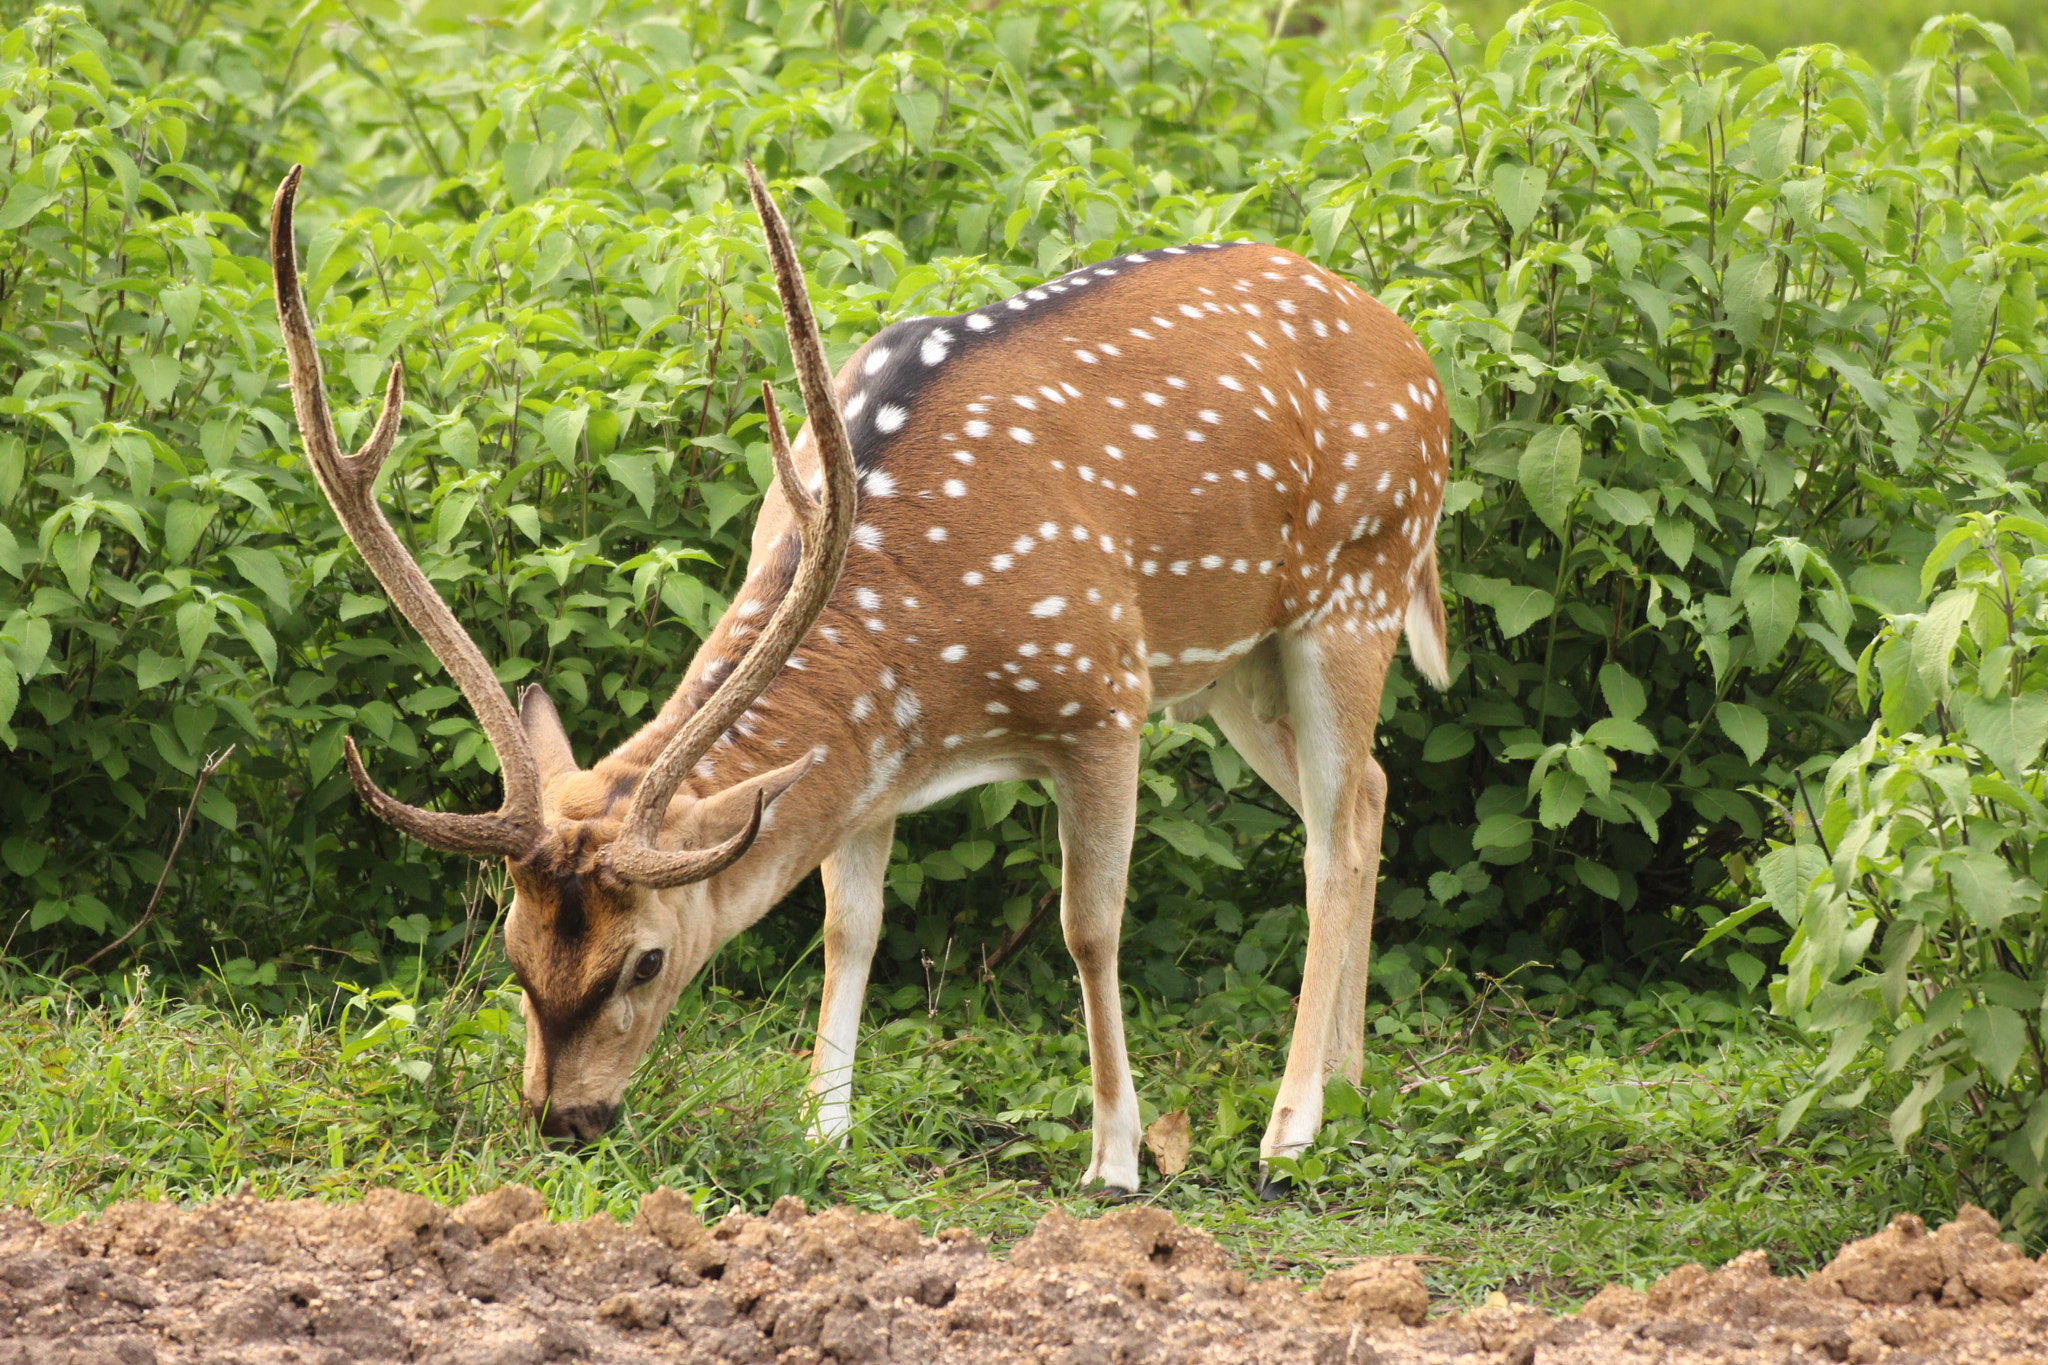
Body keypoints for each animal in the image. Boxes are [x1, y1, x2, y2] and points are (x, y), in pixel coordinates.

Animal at [272, 160, 1458, 1186]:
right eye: (513, 955)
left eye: (645, 960)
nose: (564, 1119)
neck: (930, 657)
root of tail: (1416, 350)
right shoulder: (871, 757)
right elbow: (851, 927)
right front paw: (822, 1127)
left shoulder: (1099, 694)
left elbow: (1088, 929)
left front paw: (1115, 1158)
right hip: (1235, 665)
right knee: (1367, 797)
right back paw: (1350, 1087)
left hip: (1357, 584)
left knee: (1328, 837)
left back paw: (1291, 1126)